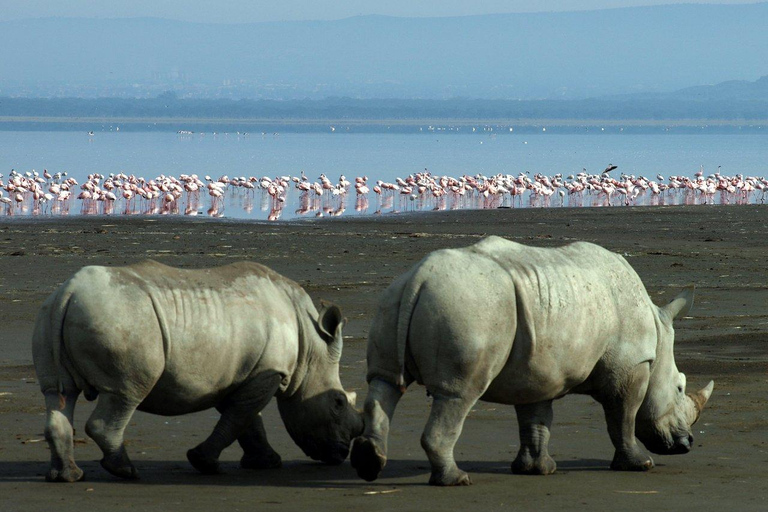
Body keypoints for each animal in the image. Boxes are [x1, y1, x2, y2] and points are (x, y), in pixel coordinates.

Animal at [32, 260, 363, 482]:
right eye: (338, 402)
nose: (341, 454)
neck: (310, 347)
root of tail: (69, 291)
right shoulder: (267, 373)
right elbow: (239, 418)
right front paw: (204, 463)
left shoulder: (237, 374)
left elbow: (246, 420)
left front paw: (267, 463)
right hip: (120, 318)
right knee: (126, 393)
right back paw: (126, 471)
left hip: (50, 313)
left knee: (59, 394)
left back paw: (68, 476)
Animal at [351, 237, 714, 486]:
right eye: (680, 388)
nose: (687, 444)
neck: (657, 331)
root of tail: (421, 277)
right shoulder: (630, 365)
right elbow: (622, 415)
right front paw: (640, 464)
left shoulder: (538, 370)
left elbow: (535, 419)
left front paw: (537, 470)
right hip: (467, 306)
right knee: (457, 394)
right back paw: (456, 480)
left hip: (395, 297)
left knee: (385, 382)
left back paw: (369, 462)